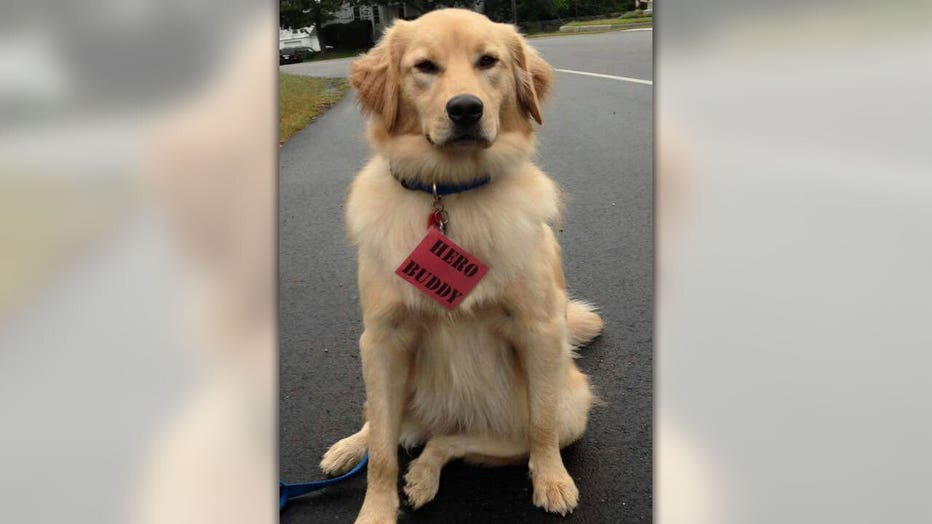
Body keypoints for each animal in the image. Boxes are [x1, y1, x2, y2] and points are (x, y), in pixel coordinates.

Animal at [322, 9, 604, 524]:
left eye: (488, 61)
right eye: (425, 67)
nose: (466, 109)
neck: (448, 190)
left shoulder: (538, 330)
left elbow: (541, 428)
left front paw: (552, 480)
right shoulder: (383, 339)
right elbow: (384, 454)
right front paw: (376, 510)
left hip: (565, 409)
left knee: (454, 439)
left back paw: (425, 472)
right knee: (384, 426)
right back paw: (352, 448)